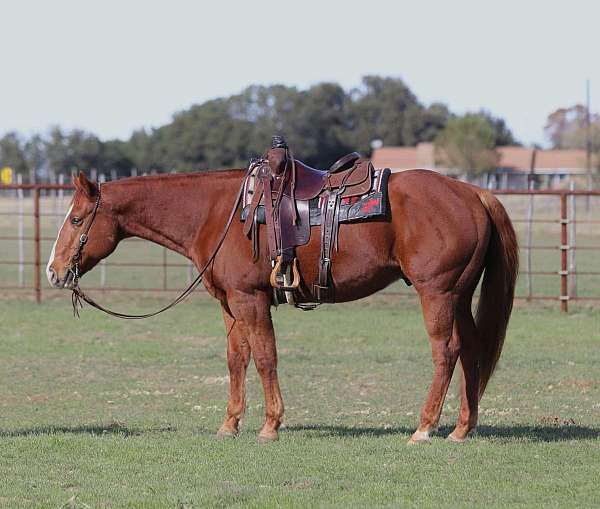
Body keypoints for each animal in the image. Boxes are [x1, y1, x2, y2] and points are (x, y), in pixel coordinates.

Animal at [47, 169, 516, 442]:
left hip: (437, 293)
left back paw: (424, 428)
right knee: (471, 351)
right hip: (459, 296)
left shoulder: (250, 300)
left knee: (446, 352)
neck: (219, 212)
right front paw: (230, 423)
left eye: (76, 219)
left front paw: (270, 425)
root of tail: (473, 193)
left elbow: (265, 357)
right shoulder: (230, 304)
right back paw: (461, 429)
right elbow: (237, 359)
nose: (54, 271)